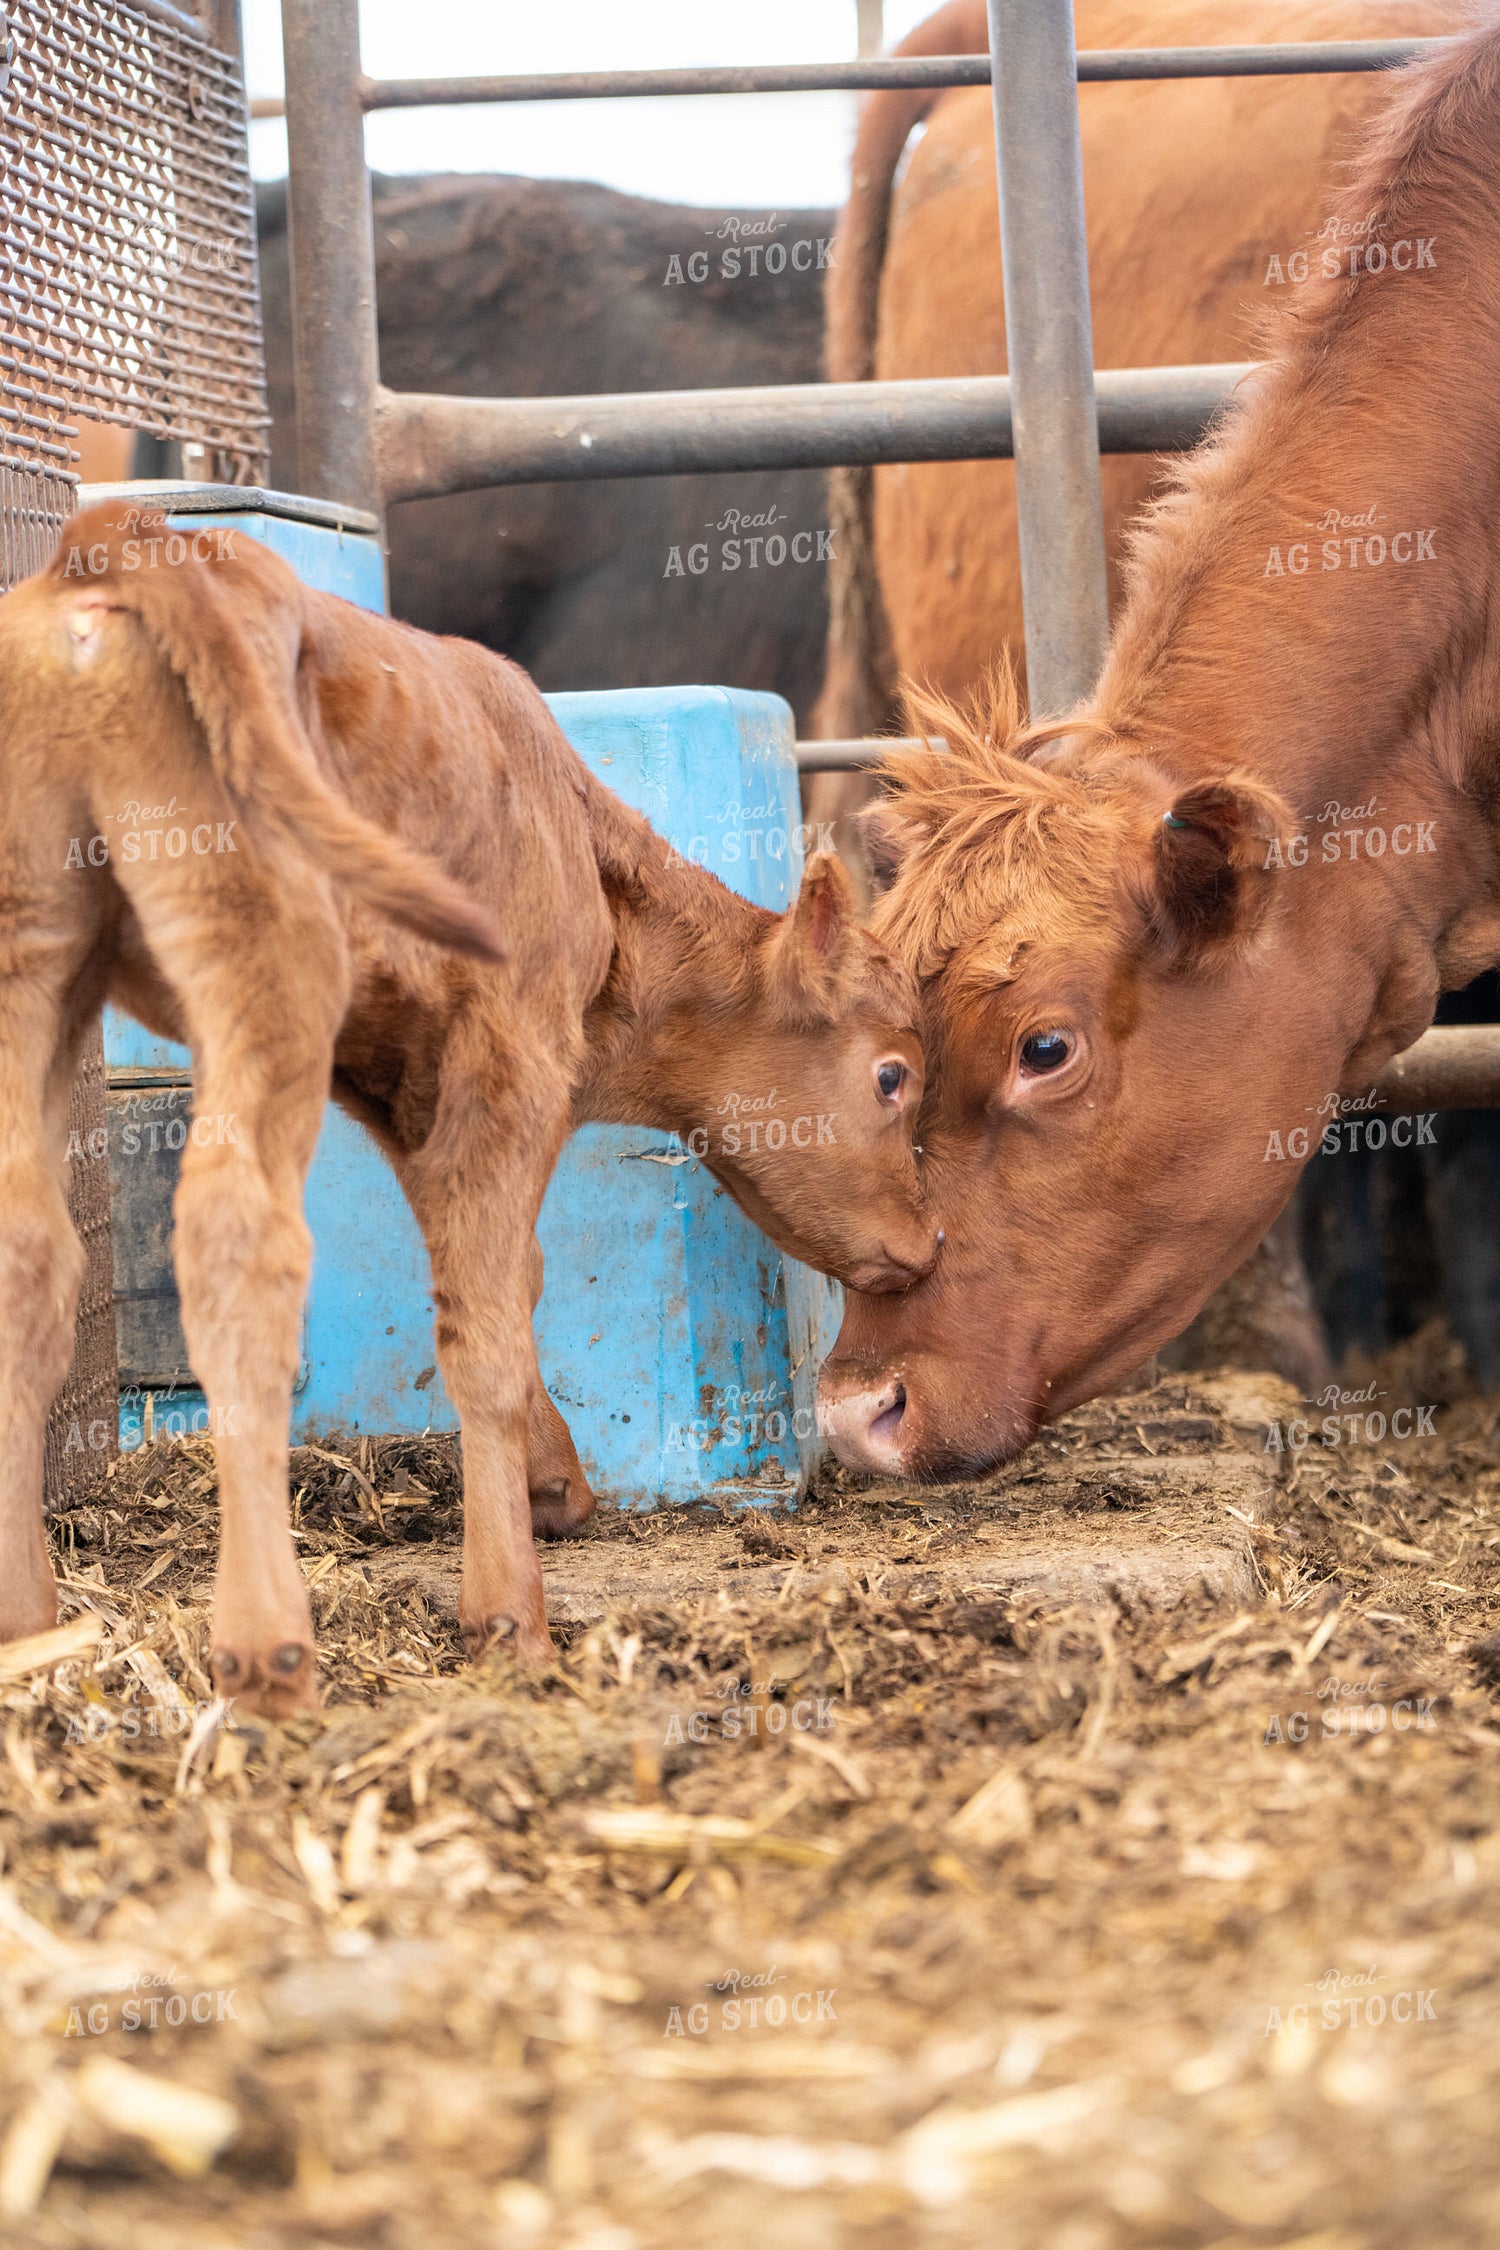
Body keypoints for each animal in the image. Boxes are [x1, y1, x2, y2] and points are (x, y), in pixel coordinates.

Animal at [0, 503, 934, 1713]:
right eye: (892, 1075)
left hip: (36, 950)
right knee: (233, 1239)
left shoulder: (409, 1088)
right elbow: (485, 1319)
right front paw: (509, 1613)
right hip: (257, 949)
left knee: (29, 1251)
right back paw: (264, 1645)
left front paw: (553, 1483)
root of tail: (132, 536)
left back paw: (30, 1626)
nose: (928, 1242)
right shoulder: (513, 1053)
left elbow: (498, 1270)